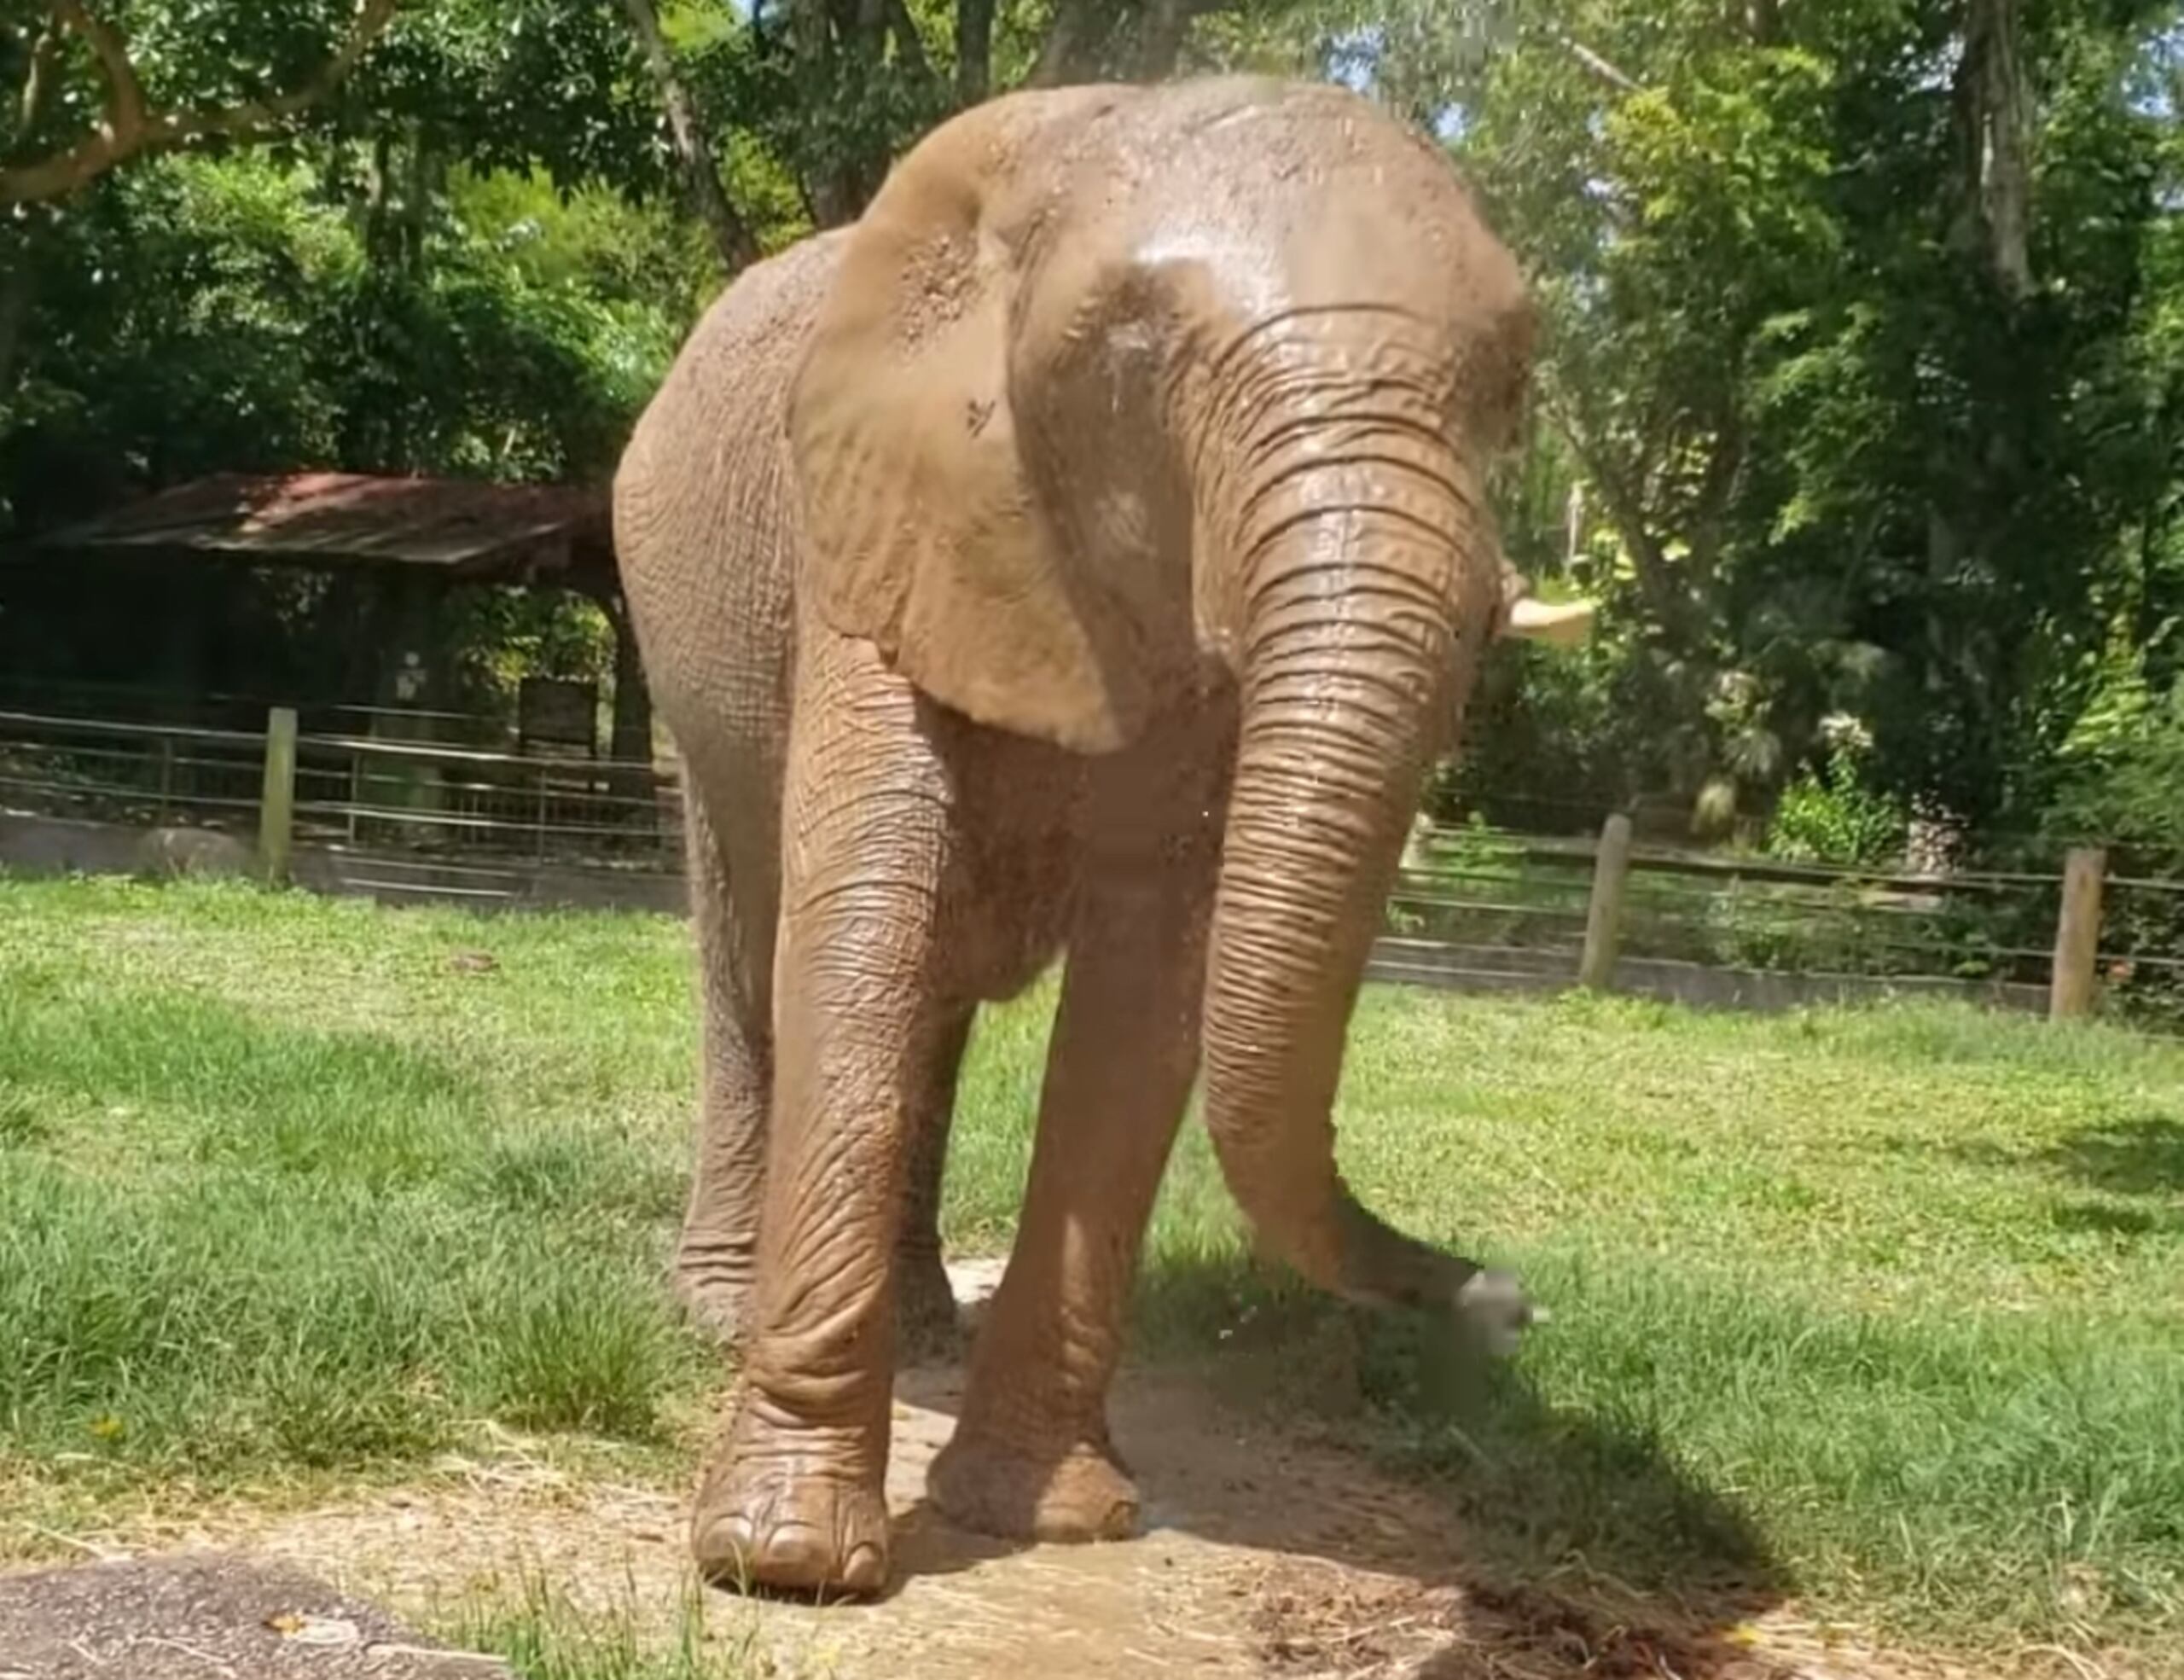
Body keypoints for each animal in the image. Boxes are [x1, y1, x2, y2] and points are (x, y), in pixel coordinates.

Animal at [624, 75, 1581, 1599]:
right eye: (1131, 357)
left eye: (1514, 380)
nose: (1506, 1297)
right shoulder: (869, 519)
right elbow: (860, 920)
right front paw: (780, 1564)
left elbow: (1154, 980)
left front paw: (1053, 1520)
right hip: (684, 665)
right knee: (752, 945)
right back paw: (718, 1311)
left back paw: (923, 1327)